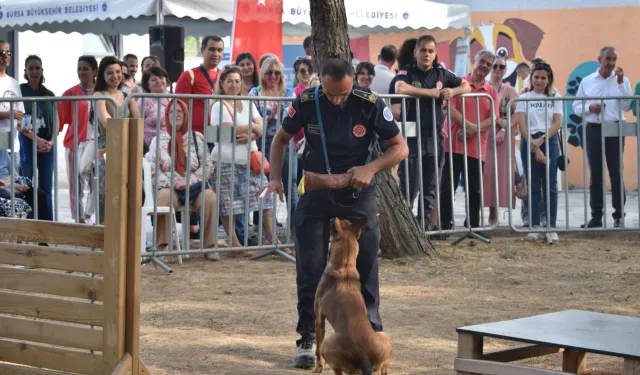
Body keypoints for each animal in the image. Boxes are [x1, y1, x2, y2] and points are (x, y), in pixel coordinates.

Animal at [314, 219, 392, 374]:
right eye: (348, 221)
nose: (330, 219)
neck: (344, 267)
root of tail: (363, 357)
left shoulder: (319, 320)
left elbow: (317, 350)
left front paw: (318, 367)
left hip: (328, 344)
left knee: (336, 368)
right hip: (384, 337)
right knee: (385, 368)